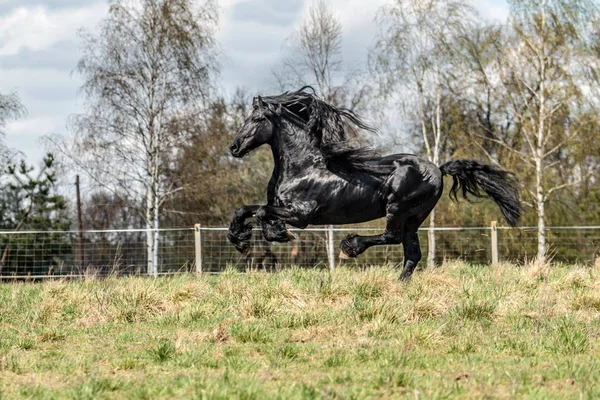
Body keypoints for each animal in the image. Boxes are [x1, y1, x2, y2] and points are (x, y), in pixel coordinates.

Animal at [227, 88, 516, 282]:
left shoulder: (302, 215)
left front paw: (278, 233)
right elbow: (244, 209)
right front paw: (240, 240)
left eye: (257, 120)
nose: (234, 147)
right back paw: (398, 286)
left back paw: (350, 248)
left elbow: (262, 212)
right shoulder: (280, 207)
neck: (303, 166)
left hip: (398, 209)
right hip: (414, 218)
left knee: (392, 237)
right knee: (412, 253)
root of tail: (437, 168)